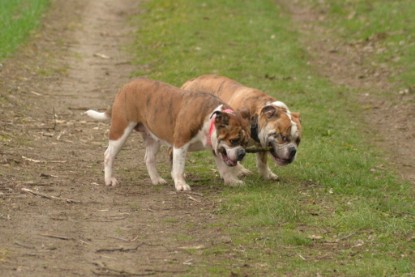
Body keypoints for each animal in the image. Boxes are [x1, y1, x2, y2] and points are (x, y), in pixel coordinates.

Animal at [85, 77, 250, 190]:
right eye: (234, 140)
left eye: (246, 142)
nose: (242, 153)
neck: (208, 118)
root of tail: (125, 86)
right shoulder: (180, 144)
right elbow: (179, 166)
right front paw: (181, 184)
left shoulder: (217, 149)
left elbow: (224, 167)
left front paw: (231, 181)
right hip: (121, 130)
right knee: (108, 155)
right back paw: (109, 180)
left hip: (153, 138)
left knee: (149, 158)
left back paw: (156, 179)